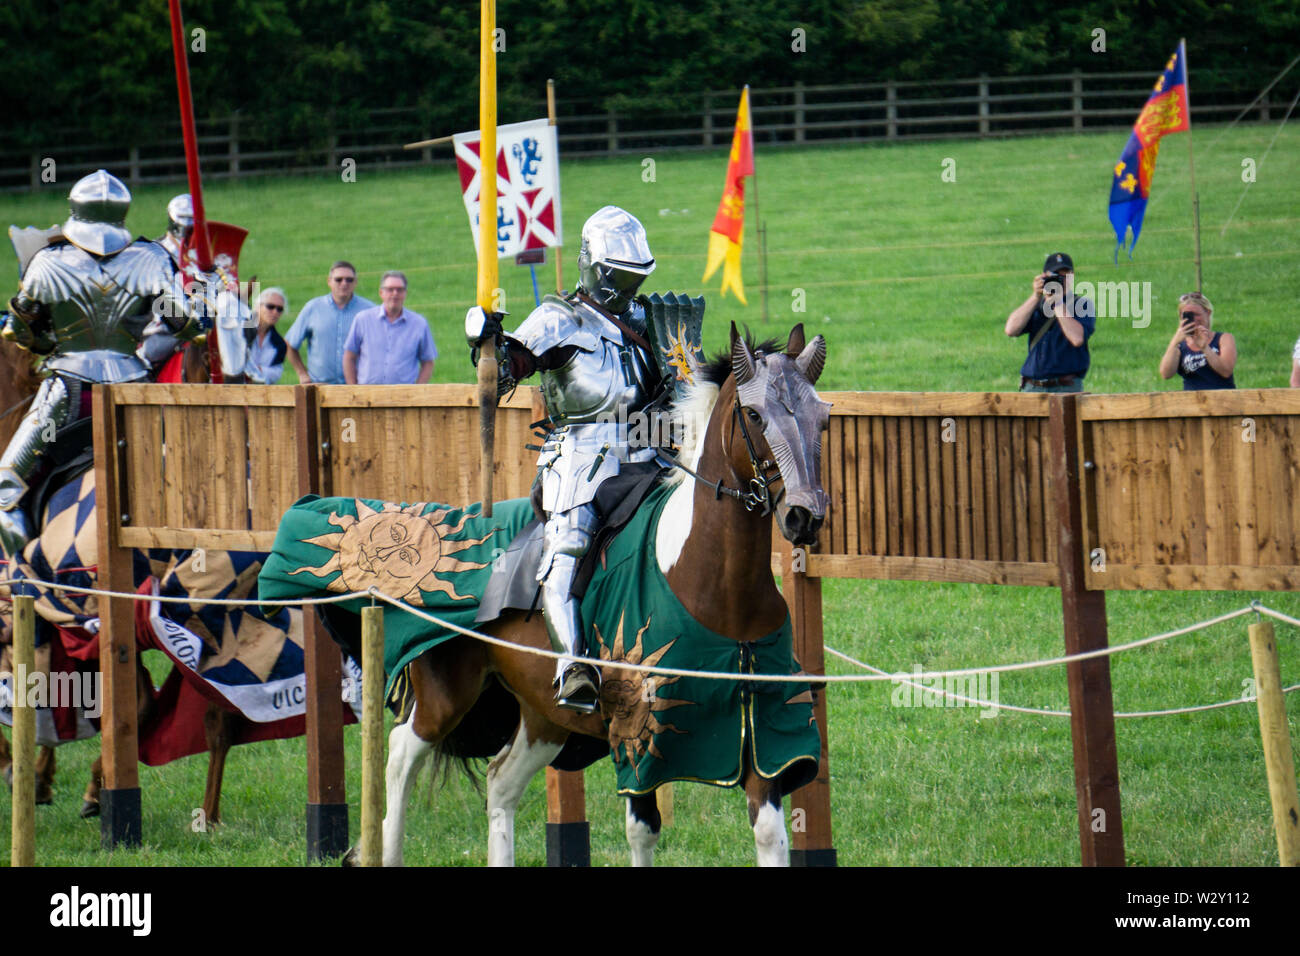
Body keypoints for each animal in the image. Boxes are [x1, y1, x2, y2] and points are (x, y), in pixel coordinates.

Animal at [327, 323, 832, 868]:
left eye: (821, 416)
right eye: (756, 415)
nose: (805, 515)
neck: (717, 588)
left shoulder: (762, 737)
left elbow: (770, 833)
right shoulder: (639, 733)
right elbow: (642, 831)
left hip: (543, 716)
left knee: (500, 782)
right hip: (445, 694)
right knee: (401, 755)